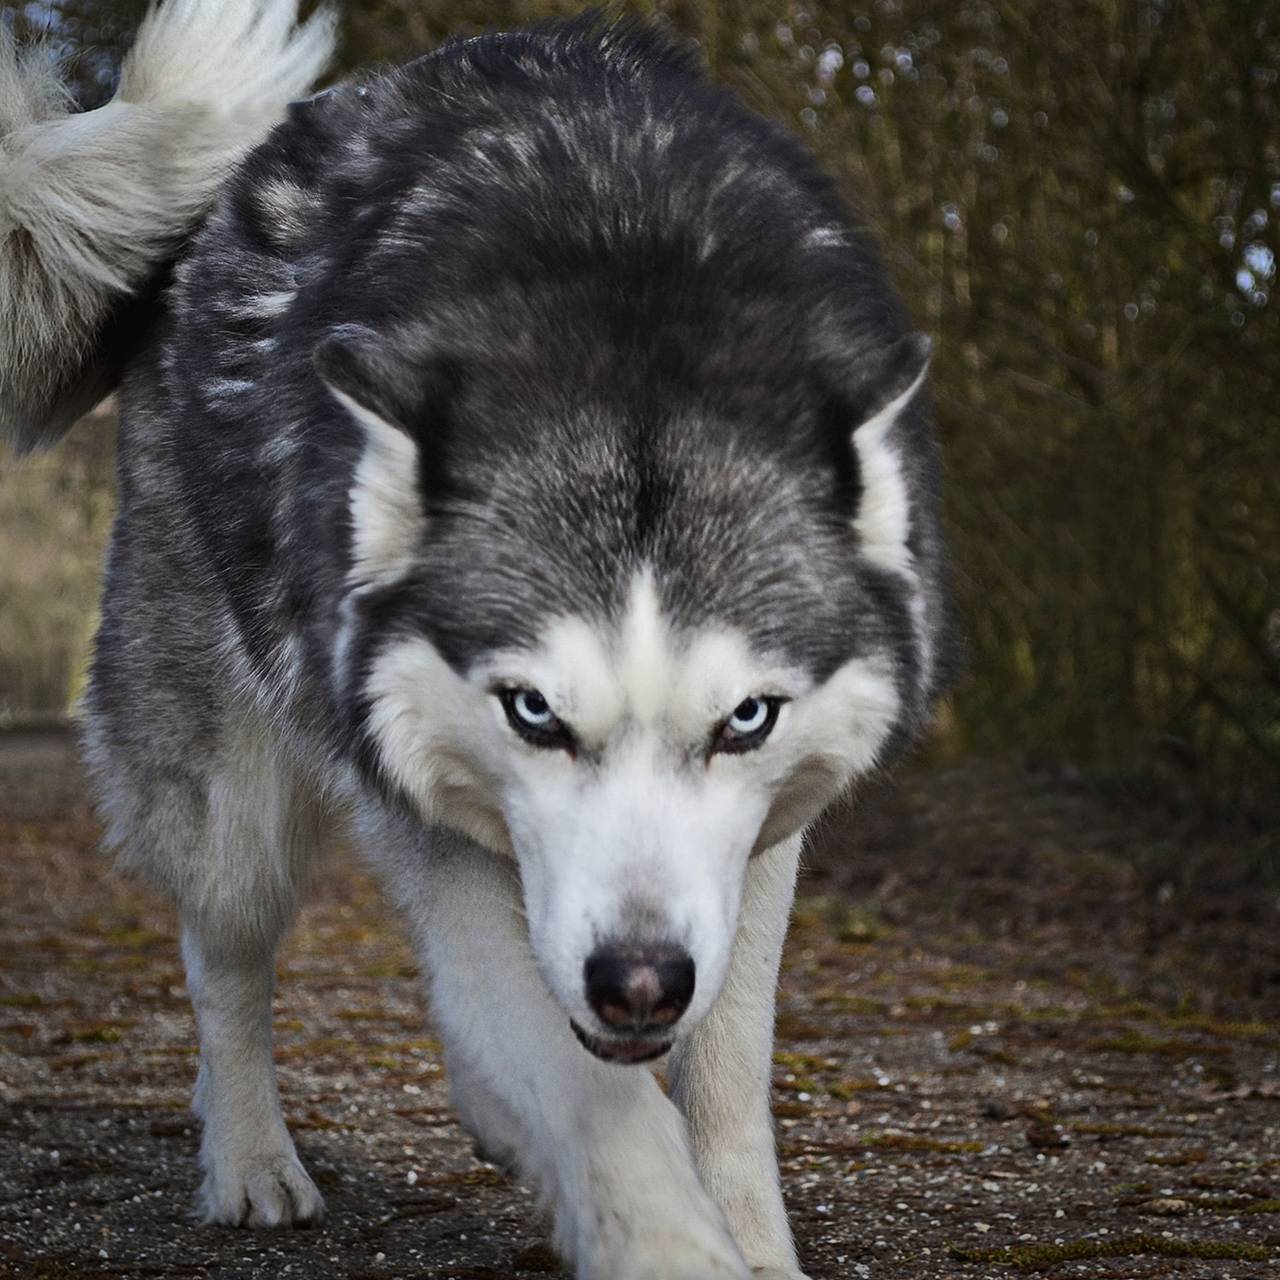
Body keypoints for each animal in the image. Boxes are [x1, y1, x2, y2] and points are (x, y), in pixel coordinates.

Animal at [2, 5, 952, 1274]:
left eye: (743, 717)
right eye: (532, 711)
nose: (639, 982)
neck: (623, 297)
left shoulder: (754, 852)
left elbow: (722, 1075)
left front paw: (748, 1240)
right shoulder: (434, 822)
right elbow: (594, 1101)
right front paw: (664, 1231)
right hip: (231, 801)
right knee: (225, 956)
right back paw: (250, 1161)